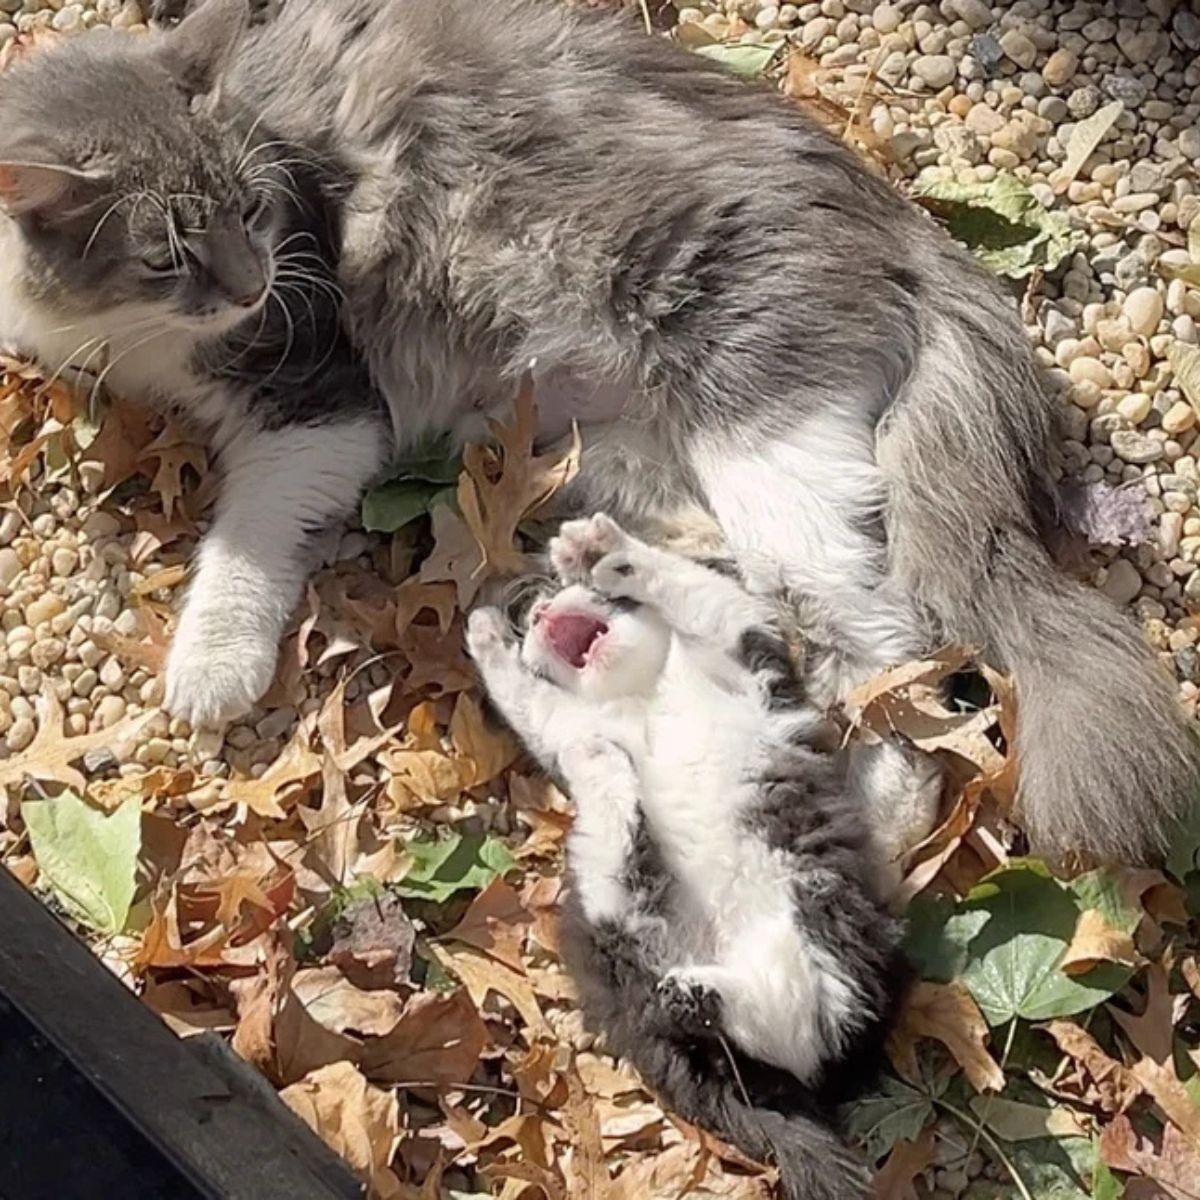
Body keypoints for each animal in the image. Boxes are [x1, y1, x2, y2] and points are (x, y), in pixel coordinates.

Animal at [4, 0, 1195, 864]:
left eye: (254, 211)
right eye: (169, 253)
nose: (253, 286)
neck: (124, 333)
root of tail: (914, 234)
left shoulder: (321, 401)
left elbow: (244, 545)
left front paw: (212, 667)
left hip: (766, 449)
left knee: (887, 660)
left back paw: (872, 821)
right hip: (604, 457)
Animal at [463, 513, 902, 1200]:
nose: (534, 611)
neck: (642, 692)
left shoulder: (746, 640)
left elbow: (694, 587)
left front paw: (601, 552)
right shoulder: (564, 725)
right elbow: (530, 702)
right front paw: (490, 638)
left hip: (820, 910)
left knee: (800, 1023)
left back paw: (699, 990)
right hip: (628, 931)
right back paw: (609, 787)